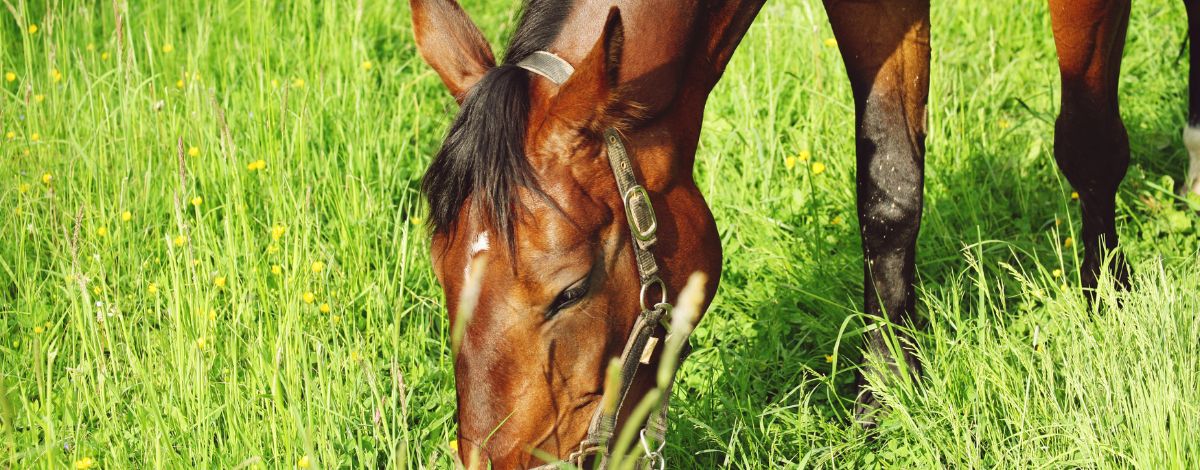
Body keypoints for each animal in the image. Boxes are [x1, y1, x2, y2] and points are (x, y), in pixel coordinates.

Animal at [410, 0, 1190, 465]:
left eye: (570, 291)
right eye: (442, 279)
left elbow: (1089, 144)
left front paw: (1109, 307)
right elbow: (889, 188)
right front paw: (883, 401)